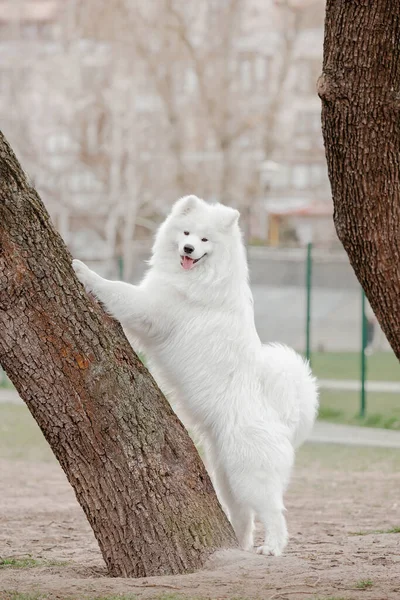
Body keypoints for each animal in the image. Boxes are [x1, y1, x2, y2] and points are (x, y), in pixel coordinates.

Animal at [72, 195, 318, 556]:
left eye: (205, 240)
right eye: (186, 233)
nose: (188, 248)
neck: (201, 276)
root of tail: (285, 416)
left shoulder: (149, 309)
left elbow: (116, 289)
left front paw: (83, 270)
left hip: (250, 476)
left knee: (274, 513)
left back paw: (272, 547)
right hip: (227, 475)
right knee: (244, 517)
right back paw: (239, 545)